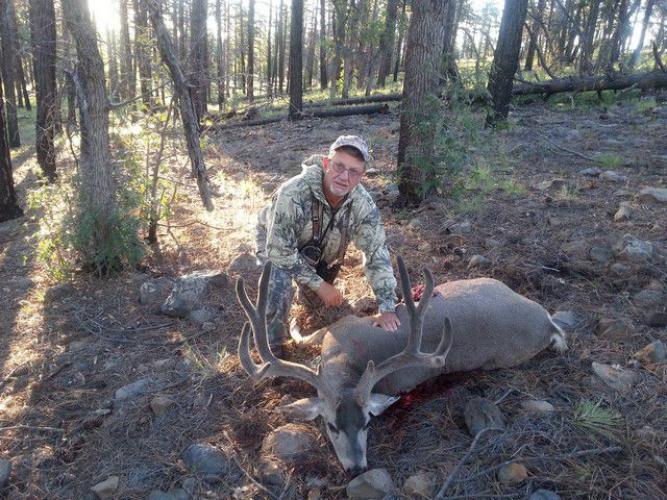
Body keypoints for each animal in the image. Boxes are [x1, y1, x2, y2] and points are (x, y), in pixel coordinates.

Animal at [235, 256, 567, 474]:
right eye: (331, 425)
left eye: (368, 423)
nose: (356, 469)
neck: (342, 356)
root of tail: (546, 323)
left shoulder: (341, 325)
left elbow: (307, 335)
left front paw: (294, 324)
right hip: (491, 281)